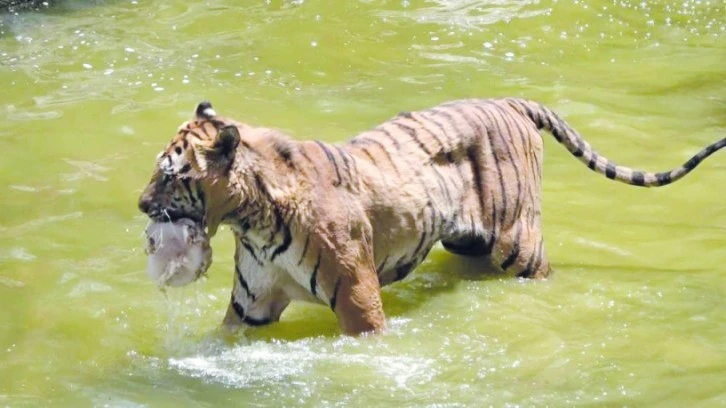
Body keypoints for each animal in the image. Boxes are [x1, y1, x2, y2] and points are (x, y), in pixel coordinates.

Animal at [138, 98, 726, 334]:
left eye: (169, 174)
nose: (141, 205)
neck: (252, 217)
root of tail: (513, 101)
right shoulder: (250, 305)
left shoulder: (358, 300)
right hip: (469, 243)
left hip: (520, 246)